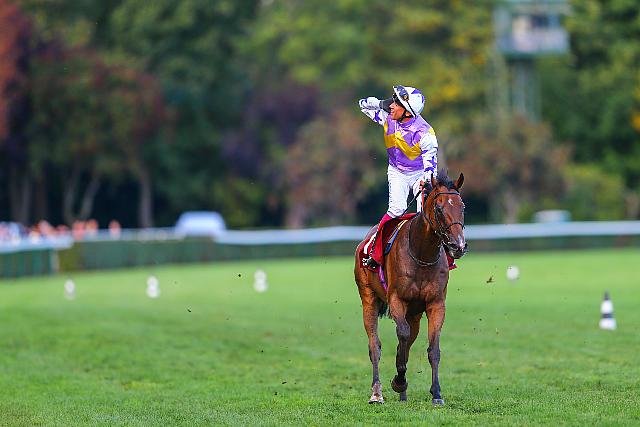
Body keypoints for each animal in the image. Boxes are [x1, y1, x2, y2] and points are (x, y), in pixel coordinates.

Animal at [354, 170, 467, 405]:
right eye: (439, 208)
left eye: (462, 206)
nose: (458, 246)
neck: (422, 253)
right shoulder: (397, 299)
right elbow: (402, 336)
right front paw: (398, 380)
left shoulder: (436, 303)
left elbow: (433, 349)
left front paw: (436, 393)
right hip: (368, 298)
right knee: (375, 345)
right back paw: (377, 392)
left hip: (414, 313)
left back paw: (403, 395)